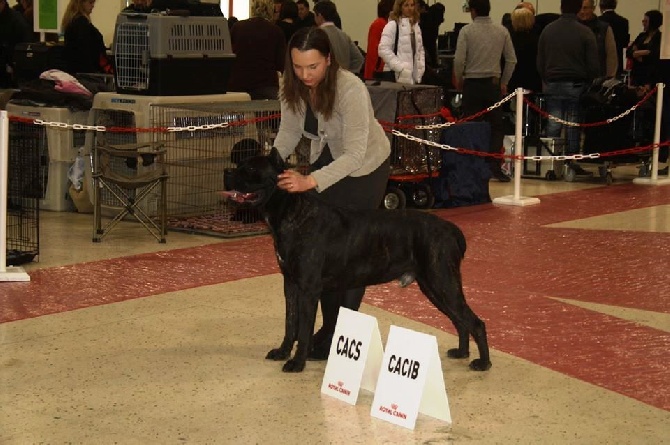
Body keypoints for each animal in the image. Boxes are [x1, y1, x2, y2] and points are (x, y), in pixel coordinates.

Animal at [223, 148, 490, 372]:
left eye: (250, 169)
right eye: (241, 164)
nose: (227, 173)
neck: (290, 210)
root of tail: (450, 229)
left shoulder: (308, 289)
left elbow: (304, 329)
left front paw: (297, 363)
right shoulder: (290, 285)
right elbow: (291, 324)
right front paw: (282, 352)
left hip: (442, 282)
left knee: (475, 322)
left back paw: (482, 363)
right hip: (434, 287)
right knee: (460, 320)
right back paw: (462, 352)